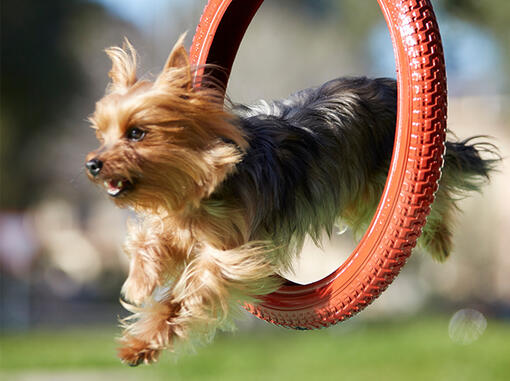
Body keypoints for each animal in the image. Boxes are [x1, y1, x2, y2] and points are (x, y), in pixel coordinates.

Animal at [85, 36, 496, 366]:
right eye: (102, 135)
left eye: (136, 133)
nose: (92, 164)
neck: (201, 192)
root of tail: (387, 85)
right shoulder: (179, 222)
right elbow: (148, 242)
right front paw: (140, 291)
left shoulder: (230, 254)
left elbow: (191, 291)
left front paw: (144, 331)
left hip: (384, 180)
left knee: (439, 190)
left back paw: (440, 240)